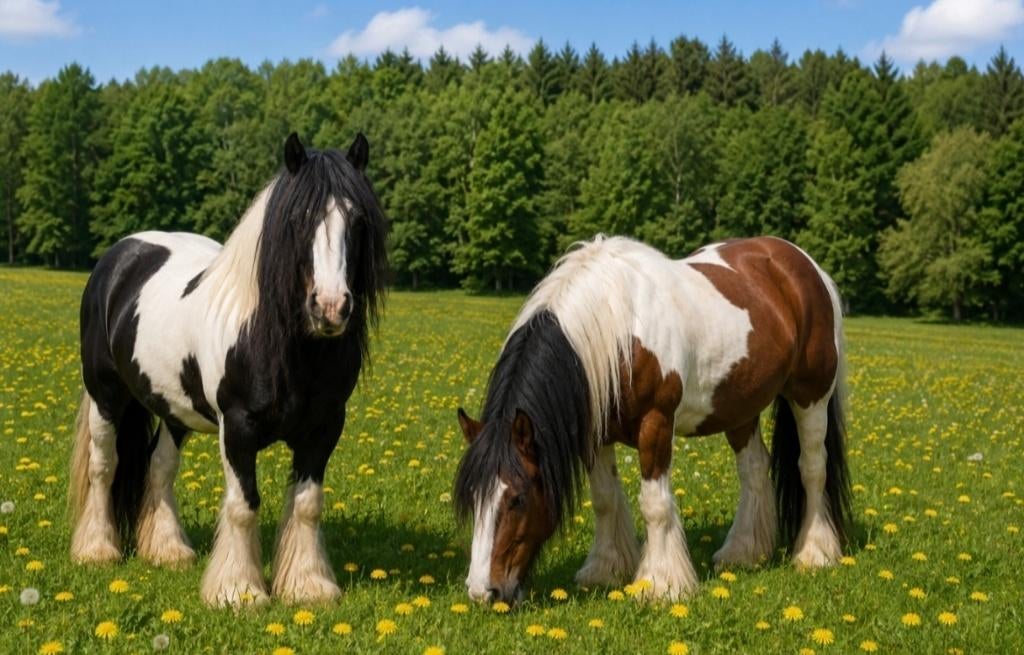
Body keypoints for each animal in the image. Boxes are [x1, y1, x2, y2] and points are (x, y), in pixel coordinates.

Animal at [68, 132, 388, 607]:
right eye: (298, 218)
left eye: (358, 219)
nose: (330, 307)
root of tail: (119, 256)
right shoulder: (237, 427)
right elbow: (243, 505)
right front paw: (239, 591)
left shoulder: (324, 428)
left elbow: (307, 503)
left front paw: (307, 586)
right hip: (106, 396)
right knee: (103, 465)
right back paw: (97, 549)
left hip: (174, 410)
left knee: (159, 466)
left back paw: (168, 551)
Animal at [454, 235, 851, 604]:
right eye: (472, 497)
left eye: (517, 499)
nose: (482, 591)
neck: (616, 331)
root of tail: (803, 264)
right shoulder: (597, 436)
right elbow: (604, 499)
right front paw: (605, 570)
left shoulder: (656, 424)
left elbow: (655, 504)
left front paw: (660, 584)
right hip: (741, 407)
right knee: (753, 470)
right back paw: (743, 553)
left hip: (811, 395)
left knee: (812, 468)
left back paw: (814, 553)